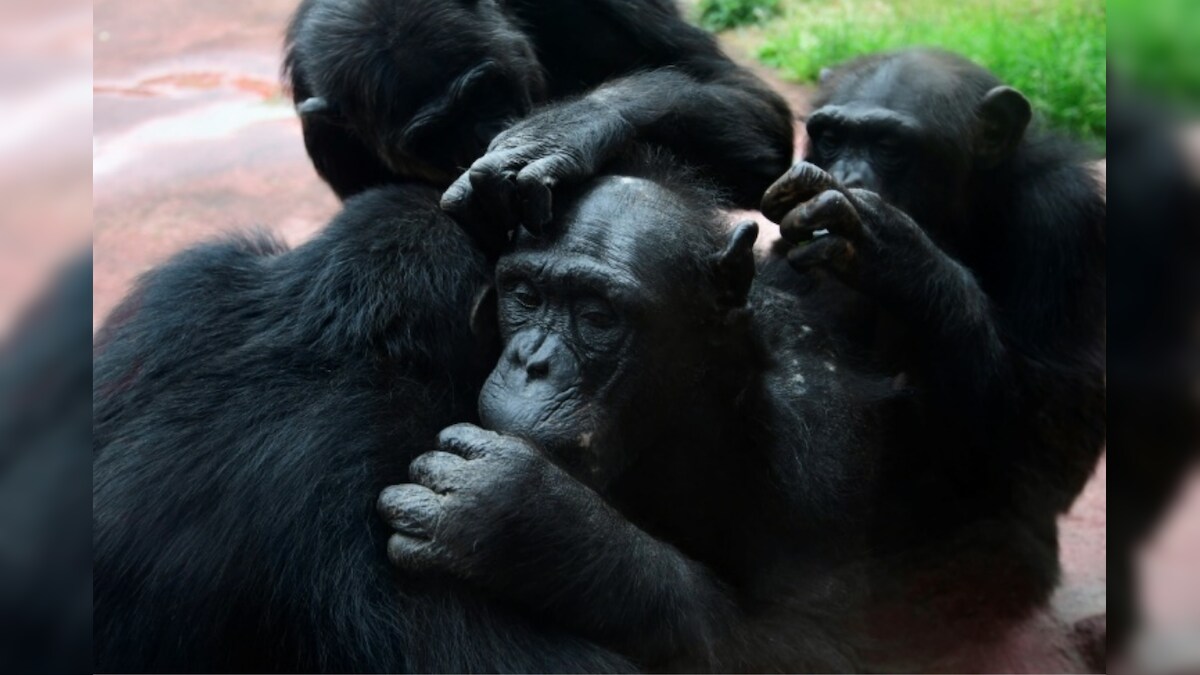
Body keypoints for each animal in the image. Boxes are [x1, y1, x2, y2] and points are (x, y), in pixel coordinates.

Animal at [279, 0, 787, 208]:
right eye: (432, 136)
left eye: (483, 90)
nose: (485, 136)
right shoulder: (327, 137)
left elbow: (740, 92)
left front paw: (564, 128)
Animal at [379, 149, 897, 667]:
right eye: (525, 296)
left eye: (597, 316)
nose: (532, 362)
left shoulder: (819, 437)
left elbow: (816, 636)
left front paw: (528, 519)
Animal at [758, 47, 1104, 638]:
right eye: (830, 137)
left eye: (889, 146)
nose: (846, 175)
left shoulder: (1070, 222)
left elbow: (1052, 452)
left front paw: (892, 247)